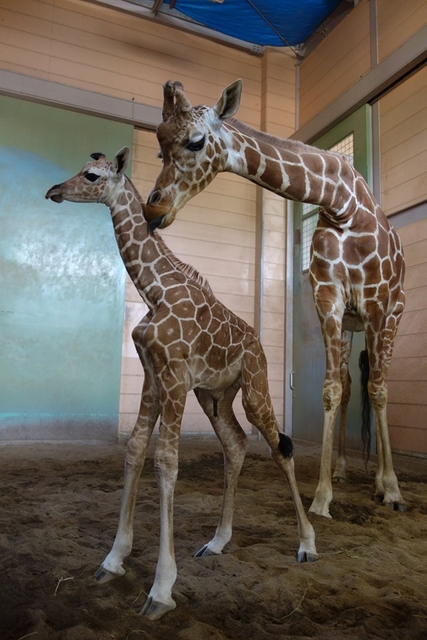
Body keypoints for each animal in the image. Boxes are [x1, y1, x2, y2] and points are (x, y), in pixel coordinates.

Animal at [46, 149, 318, 620]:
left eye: (91, 175)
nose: (54, 191)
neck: (154, 291)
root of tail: (259, 344)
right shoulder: (153, 378)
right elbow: (135, 449)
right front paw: (112, 561)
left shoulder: (173, 377)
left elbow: (166, 461)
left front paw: (161, 589)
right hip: (214, 396)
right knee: (235, 444)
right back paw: (217, 542)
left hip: (254, 387)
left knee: (279, 446)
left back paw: (307, 545)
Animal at [145, 80, 408, 520]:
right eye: (159, 146)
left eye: (196, 141)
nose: (154, 208)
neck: (343, 204)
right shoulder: (329, 299)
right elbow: (331, 389)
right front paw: (322, 495)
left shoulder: (374, 301)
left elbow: (378, 389)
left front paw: (390, 489)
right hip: (352, 323)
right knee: (350, 384)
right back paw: (341, 469)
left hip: (393, 312)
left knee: (380, 385)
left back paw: (383, 482)